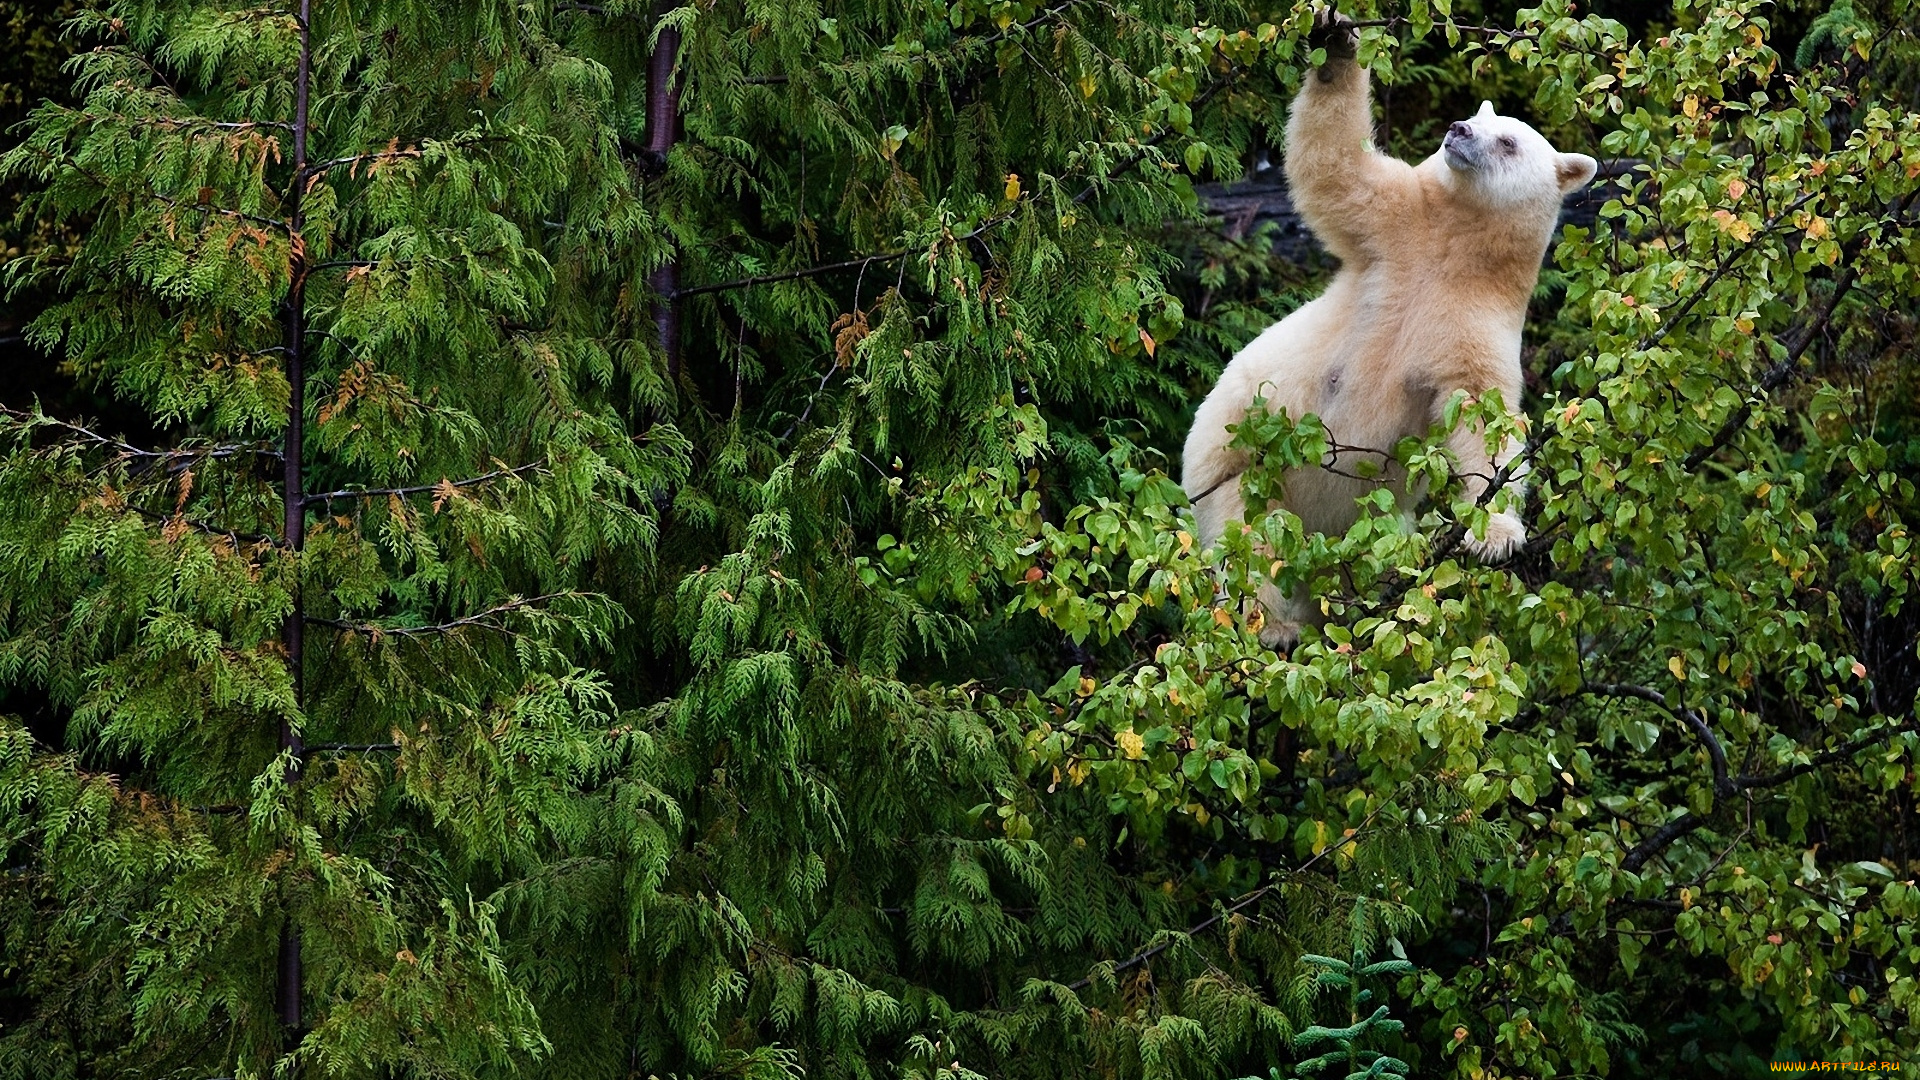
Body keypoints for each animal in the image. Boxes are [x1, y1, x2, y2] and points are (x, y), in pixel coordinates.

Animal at [1175, 14, 1597, 645]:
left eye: (1508, 140)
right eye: (1478, 116)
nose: (1458, 129)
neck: (1453, 248)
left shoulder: (1478, 320)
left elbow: (1483, 415)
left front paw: (1494, 535)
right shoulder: (1392, 231)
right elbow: (1337, 171)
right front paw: (1335, 42)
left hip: (1362, 529)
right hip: (1231, 465)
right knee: (1247, 539)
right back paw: (1274, 626)